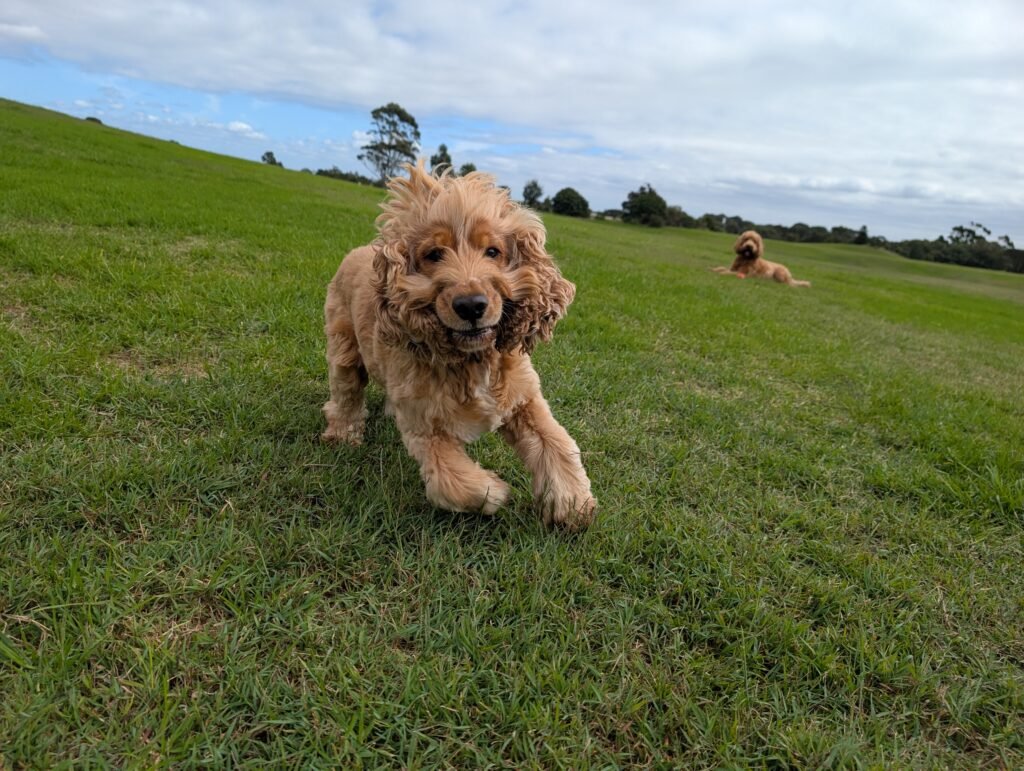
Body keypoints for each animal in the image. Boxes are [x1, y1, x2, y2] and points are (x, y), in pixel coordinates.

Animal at [322, 161, 596, 530]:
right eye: (434, 255)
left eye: (493, 252)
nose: (471, 306)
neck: (472, 359)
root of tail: (357, 251)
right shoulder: (425, 424)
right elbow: (452, 481)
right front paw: (494, 491)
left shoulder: (524, 397)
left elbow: (555, 442)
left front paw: (571, 501)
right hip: (344, 345)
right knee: (346, 391)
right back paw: (343, 435)